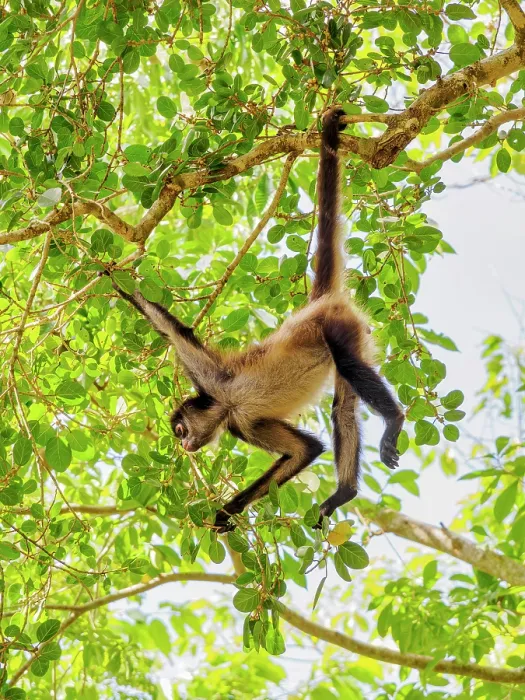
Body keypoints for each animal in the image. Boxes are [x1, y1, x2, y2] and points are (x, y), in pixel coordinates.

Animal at [109, 108, 404, 533]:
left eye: (180, 430)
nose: (184, 446)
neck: (226, 405)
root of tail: (318, 303)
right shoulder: (242, 423)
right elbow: (304, 451)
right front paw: (225, 515)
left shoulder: (222, 394)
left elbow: (173, 330)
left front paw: (106, 272)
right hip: (354, 334)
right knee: (343, 407)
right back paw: (344, 492)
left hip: (336, 326)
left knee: (348, 364)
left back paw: (394, 419)